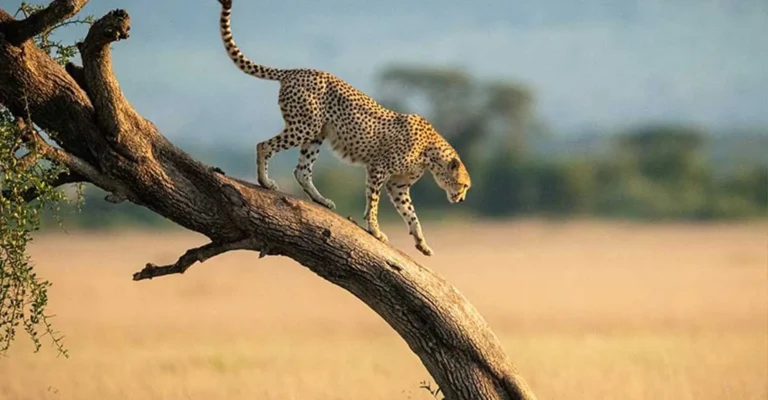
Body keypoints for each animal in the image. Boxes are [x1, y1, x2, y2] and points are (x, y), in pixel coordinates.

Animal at [216, 0, 471, 256]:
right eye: (464, 185)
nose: (461, 200)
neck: (431, 154)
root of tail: (295, 71)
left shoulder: (398, 185)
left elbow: (411, 214)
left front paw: (421, 242)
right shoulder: (378, 169)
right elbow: (373, 203)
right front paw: (375, 230)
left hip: (316, 134)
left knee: (302, 171)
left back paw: (321, 200)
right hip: (305, 127)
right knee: (264, 145)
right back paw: (265, 182)